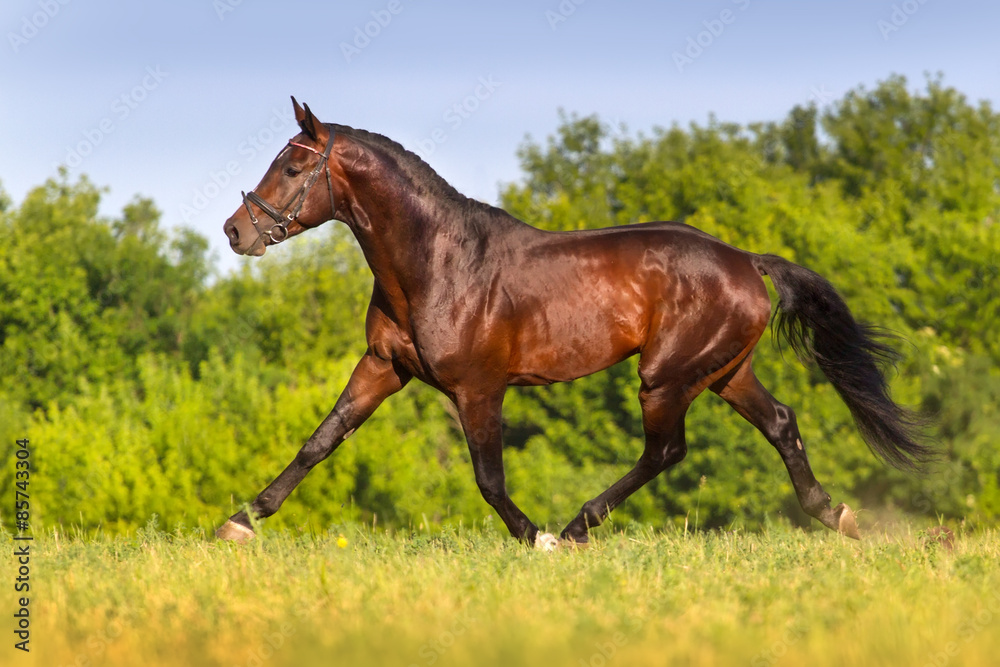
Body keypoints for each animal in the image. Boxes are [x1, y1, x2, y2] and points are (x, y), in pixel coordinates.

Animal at [217, 97, 932, 548]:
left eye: (294, 166)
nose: (235, 231)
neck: (438, 262)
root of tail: (746, 262)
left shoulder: (478, 388)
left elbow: (488, 477)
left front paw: (536, 538)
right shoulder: (384, 367)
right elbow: (320, 440)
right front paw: (241, 521)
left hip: (666, 376)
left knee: (666, 450)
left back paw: (576, 526)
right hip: (725, 371)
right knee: (781, 423)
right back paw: (835, 516)